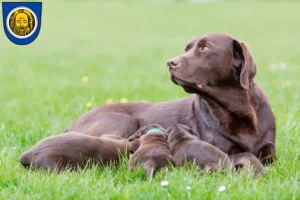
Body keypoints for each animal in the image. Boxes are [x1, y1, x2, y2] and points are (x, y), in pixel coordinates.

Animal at [64, 33, 276, 165]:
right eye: (186, 48)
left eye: (204, 48)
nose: (170, 62)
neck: (240, 113)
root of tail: (72, 124)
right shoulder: (223, 150)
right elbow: (248, 156)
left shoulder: (270, 150)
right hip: (124, 120)